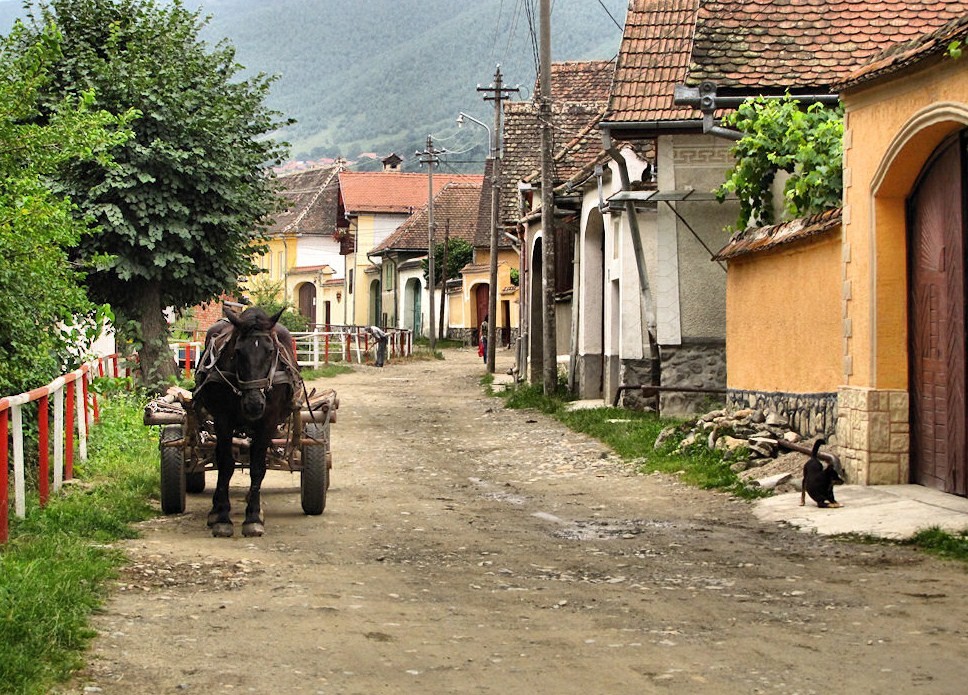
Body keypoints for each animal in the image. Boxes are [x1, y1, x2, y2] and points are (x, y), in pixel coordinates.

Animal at [193, 306, 302, 540]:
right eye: (238, 352)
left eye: (270, 351)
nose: (254, 404)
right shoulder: (223, 420)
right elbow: (226, 465)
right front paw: (222, 517)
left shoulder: (268, 421)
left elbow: (258, 468)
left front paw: (253, 517)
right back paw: (215, 509)